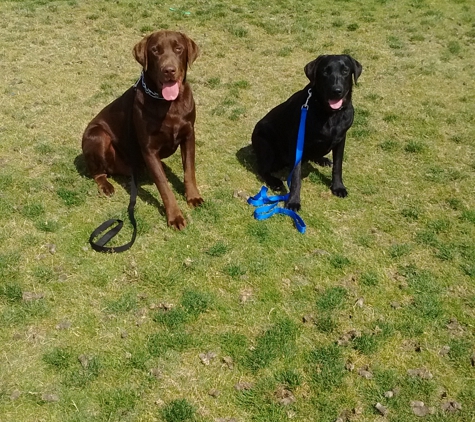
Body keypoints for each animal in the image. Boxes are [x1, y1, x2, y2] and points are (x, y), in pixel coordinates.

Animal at [82, 30, 205, 229]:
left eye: (178, 48)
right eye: (155, 50)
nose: (169, 70)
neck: (168, 104)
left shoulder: (188, 135)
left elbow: (189, 169)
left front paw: (193, 197)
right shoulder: (149, 148)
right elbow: (163, 185)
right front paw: (175, 216)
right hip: (97, 135)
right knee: (97, 171)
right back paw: (106, 186)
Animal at [251, 54, 362, 211]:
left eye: (345, 71)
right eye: (325, 71)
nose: (336, 90)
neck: (329, 114)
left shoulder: (341, 139)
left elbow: (338, 166)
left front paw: (338, 187)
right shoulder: (297, 142)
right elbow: (296, 176)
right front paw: (293, 201)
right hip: (265, 143)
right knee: (263, 169)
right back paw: (275, 182)